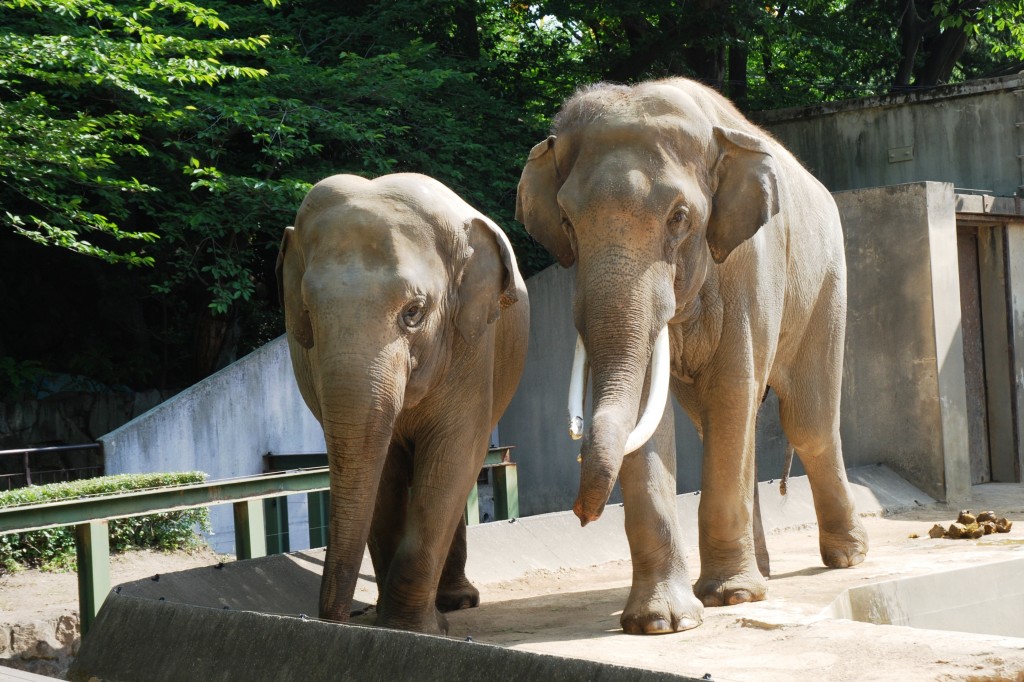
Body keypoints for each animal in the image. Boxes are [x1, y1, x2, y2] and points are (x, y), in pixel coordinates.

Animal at [278, 171, 528, 630]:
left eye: (413, 312)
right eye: (308, 313)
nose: (336, 621)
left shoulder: (471, 343)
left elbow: (453, 455)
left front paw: (413, 628)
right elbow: (382, 468)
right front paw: (394, 623)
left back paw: (458, 602)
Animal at [520, 78, 864, 630]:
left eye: (679, 218)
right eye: (568, 222)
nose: (581, 515)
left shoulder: (750, 267)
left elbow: (733, 388)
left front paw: (731, 598)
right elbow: (654, 413)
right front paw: (660, 622)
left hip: (827, 286)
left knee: (807, 424)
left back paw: (845, 558)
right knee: (725, 425)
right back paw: (762, 570)